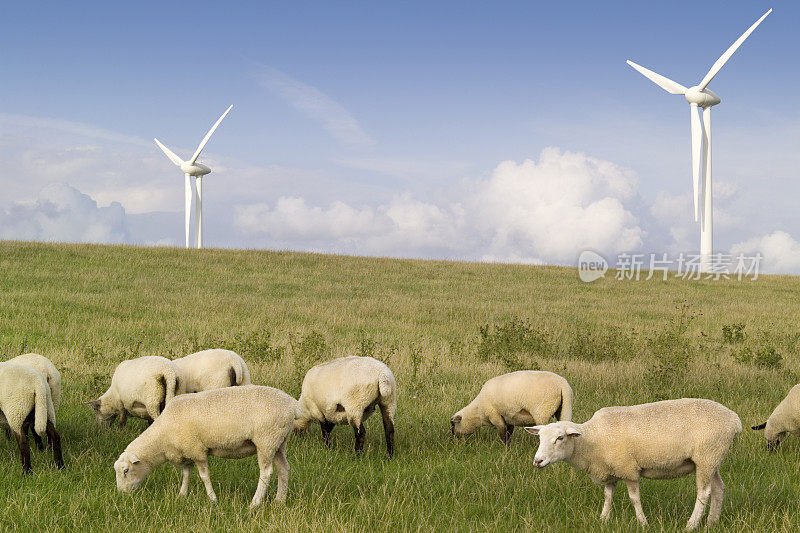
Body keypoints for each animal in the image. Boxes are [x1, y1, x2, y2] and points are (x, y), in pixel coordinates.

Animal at [113, 384, 296, 504]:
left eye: (126, 471)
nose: (122, 494)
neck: (163, 438)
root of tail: (292, 405)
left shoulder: (197, 450)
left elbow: (204, 476)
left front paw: (212, 499)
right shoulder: (186, 452)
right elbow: (186, 474)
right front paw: (182, 495)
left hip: (266, 440)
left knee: (266, 472)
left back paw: (255, 503)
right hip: (279, 442)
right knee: (284, 469)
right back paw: (280, 500)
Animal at [524, 396, 744, 528]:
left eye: (560, 438)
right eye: (540, 438)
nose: (538, 461)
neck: (593, 439)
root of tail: (734, 419)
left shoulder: (628, 468)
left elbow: (634, 498)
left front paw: (643, 522)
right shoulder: (611, 470)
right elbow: (608, 496)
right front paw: (603, 519)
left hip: (707, 456)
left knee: (704, 492)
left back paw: (691, 525)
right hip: (712, 459)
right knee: (718, 488)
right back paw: (711, 523)